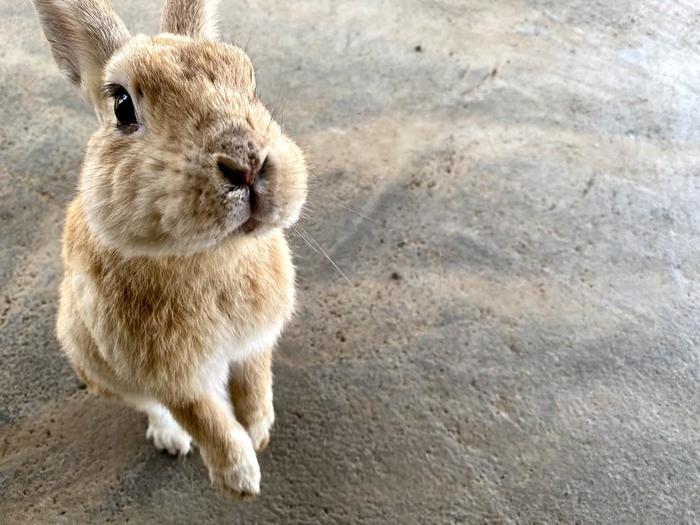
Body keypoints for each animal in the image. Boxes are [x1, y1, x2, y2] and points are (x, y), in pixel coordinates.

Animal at [32, 0, 306, 496]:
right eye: (122, 106)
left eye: (250, 79)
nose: (247, 166)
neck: (211, 254)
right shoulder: (169, 376)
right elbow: (199, 414)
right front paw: (240, 478)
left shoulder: (256, 341)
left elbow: (256, 379)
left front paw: (258, 432)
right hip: (92, 358)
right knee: (150, 406)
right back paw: (172, 440)